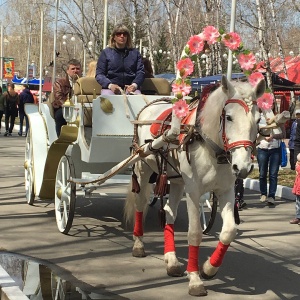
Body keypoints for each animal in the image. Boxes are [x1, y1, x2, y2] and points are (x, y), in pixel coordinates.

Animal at [124, 76, 264, 296]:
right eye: (229, 117)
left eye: (258, 120)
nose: (243, 167)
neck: (211, 147)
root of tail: (151, 104)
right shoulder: (193, 191)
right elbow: (195, 233)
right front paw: (195, 278)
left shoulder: (226, 191)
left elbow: (229, 231)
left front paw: (208, 268)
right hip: (143, 168)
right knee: (140, 204)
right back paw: (138, 244)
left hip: (176, 180)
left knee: (169, 212)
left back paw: (171, 259)